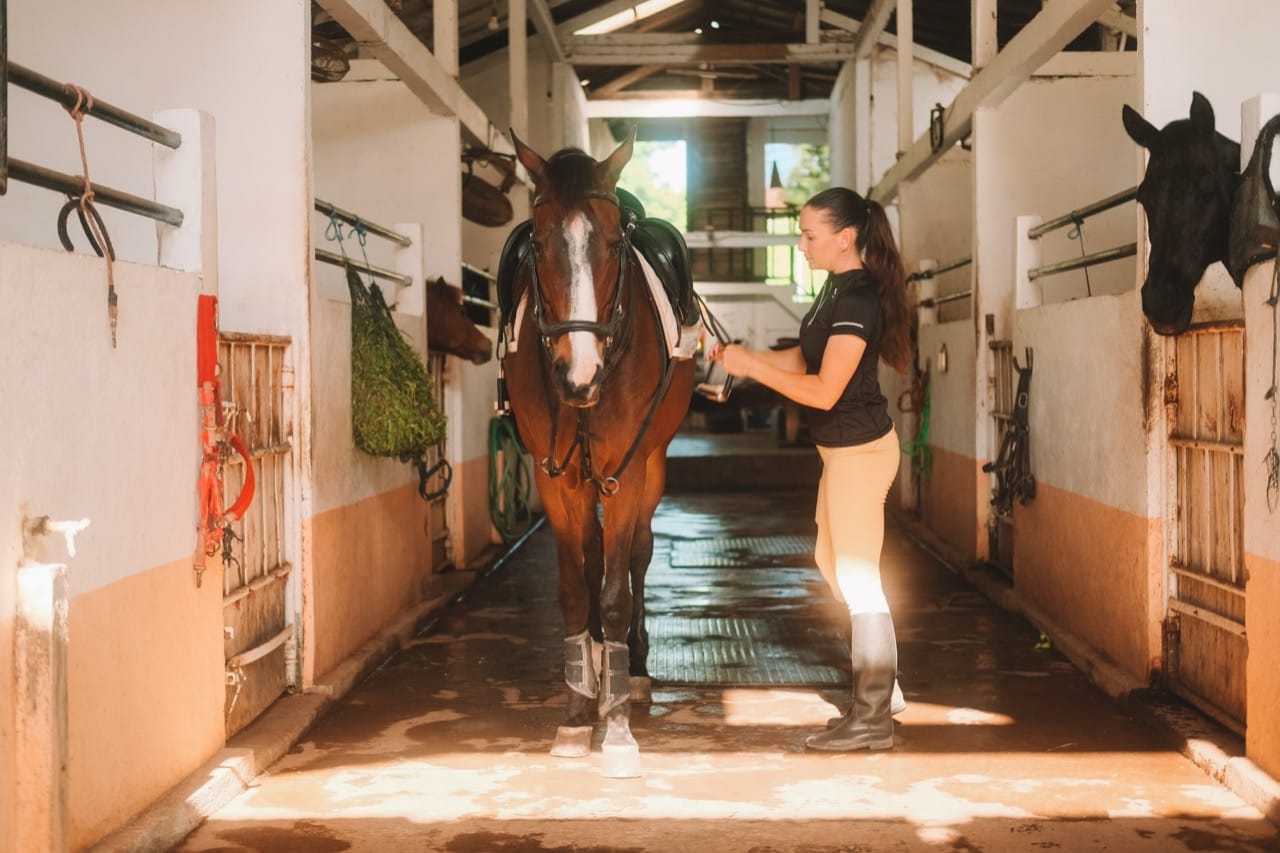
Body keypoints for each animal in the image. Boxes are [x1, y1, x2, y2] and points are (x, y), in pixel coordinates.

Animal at [502, 132, 695, 773]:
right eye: (538, 244)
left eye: (613, 244)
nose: (577, 376)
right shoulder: (553, 476)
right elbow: (573, 589)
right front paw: (575, 714)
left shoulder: (625, 469)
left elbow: (613, 593)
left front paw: (616, 728)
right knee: (592, 555)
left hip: (649, 467)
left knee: (635, 553)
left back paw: (630, 668)